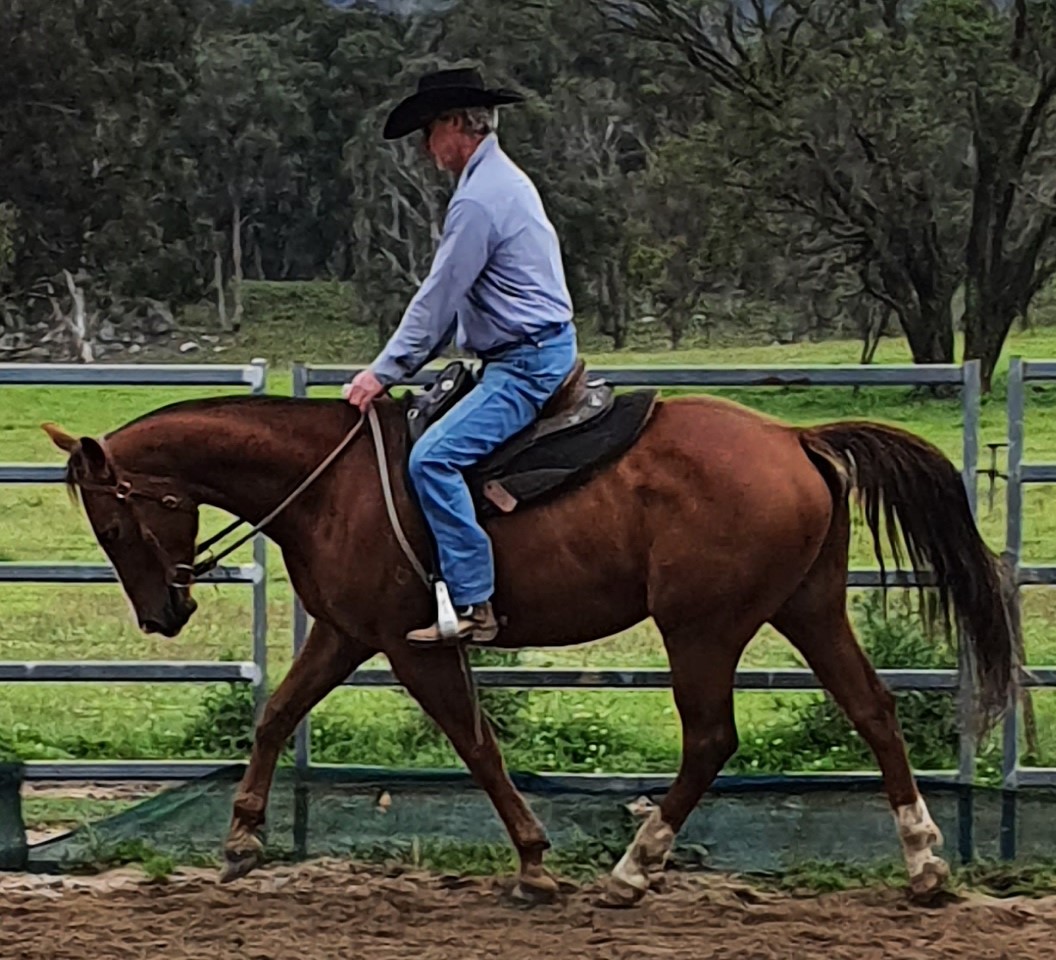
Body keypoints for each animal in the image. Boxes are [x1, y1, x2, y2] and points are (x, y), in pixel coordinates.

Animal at [41, 382, 1017, 905]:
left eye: (112, 525)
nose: (161, 615)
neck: (331, 485)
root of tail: (794, 438)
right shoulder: (348, 632)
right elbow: (278, 714)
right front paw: (242, 841)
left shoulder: (414, 644)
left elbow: (476, 744)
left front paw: (537, 864)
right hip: (807, 608)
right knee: (874, 709)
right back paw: (925, 863)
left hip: (701, 627)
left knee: (711, 739)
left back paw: (631, 871)